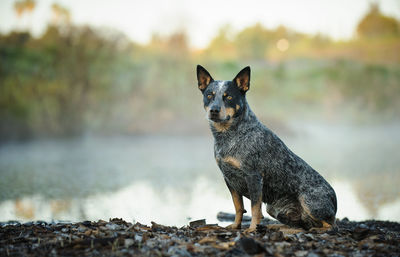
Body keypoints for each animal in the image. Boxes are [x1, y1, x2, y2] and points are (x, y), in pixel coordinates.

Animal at [197, 64, 338, 232]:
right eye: (209, 95)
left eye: (229, 97)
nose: (214, 110)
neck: (230, 135)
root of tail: (335, 201)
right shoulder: (229, 179)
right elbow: (238, 207)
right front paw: (236, 226)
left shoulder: (254, 176)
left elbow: (254, 208)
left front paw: (252, 229)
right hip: (274, 208)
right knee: (302, 225)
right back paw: (276, 227)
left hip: (309, 202)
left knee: (330, 225)